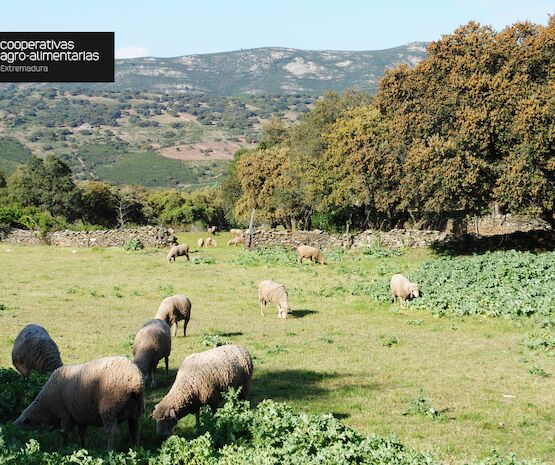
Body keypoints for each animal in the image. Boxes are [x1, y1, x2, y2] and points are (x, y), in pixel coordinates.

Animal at [13, 356, 144, 450]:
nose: (13, 427)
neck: (46, 406)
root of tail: (135, 380)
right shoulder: (81, 414)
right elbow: (81, 433)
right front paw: (83, 447)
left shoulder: (66, 414)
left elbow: (64, 433)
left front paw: (62, 449)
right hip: (136, 410)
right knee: (135, 430)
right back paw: (135, 450)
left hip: (109, 409)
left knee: (113, 433)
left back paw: (110, 452)